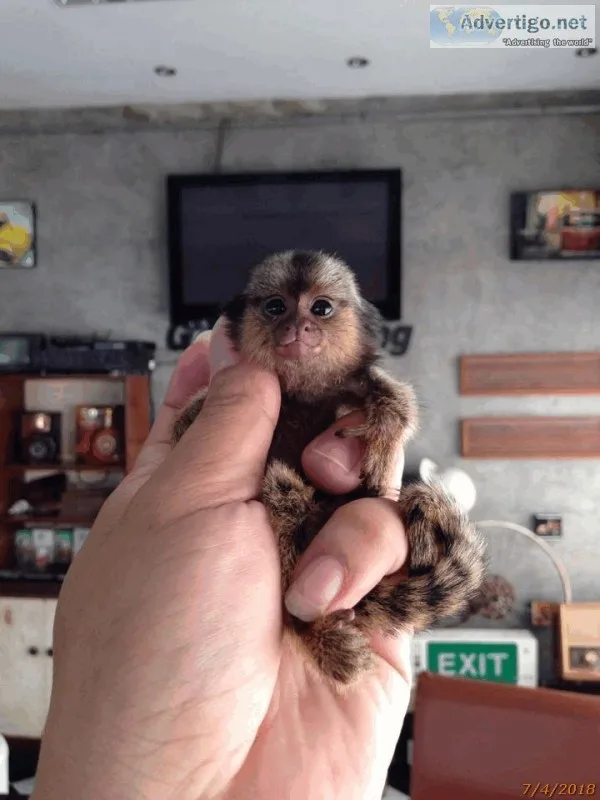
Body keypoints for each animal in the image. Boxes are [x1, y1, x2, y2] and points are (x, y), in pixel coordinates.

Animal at [171, 250, 486, 688]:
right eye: (276, 307)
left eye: (320, 308)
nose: (297, 327)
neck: (302, 391)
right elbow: (183, 425)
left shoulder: (350, 384)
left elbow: (396, 401)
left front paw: (383, 430)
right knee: (282, 490)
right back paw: (313, 625)